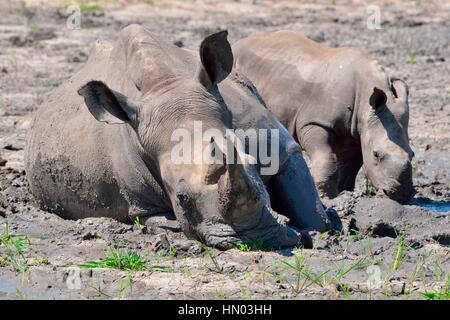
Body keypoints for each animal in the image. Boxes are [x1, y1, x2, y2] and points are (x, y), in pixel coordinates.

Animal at [25, 25, 330, 250]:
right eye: (181, 197)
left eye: (253, 164)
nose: (255, 237)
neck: (165, 84)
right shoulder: (141, 202)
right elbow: (159, 220)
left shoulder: (278, 143)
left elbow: (309, 205)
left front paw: (317, 230)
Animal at [236, 30, 414, 200]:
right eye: (376, 154)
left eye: (412, 154)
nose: (399, 193)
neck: (365, 104)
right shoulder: (315, 122)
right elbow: (327, 157)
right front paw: (326, 196)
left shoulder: (357, 133)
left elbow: (350, 167)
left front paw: (344, 193)